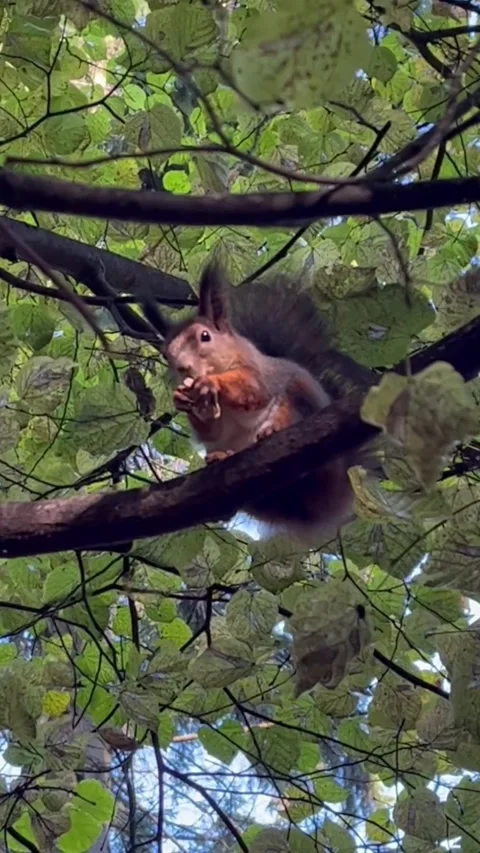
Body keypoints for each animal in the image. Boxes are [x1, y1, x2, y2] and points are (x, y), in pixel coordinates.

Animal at [152, 263, 375, 543]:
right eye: (167, 353)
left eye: (205, 336)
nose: (183, 368)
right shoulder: (214, 427)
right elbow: (210, 431)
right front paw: (182, 399)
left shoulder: (259, 375)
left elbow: (251, 388)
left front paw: (212, 382)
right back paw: (221, 456)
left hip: (298, 404)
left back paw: (272, 430)